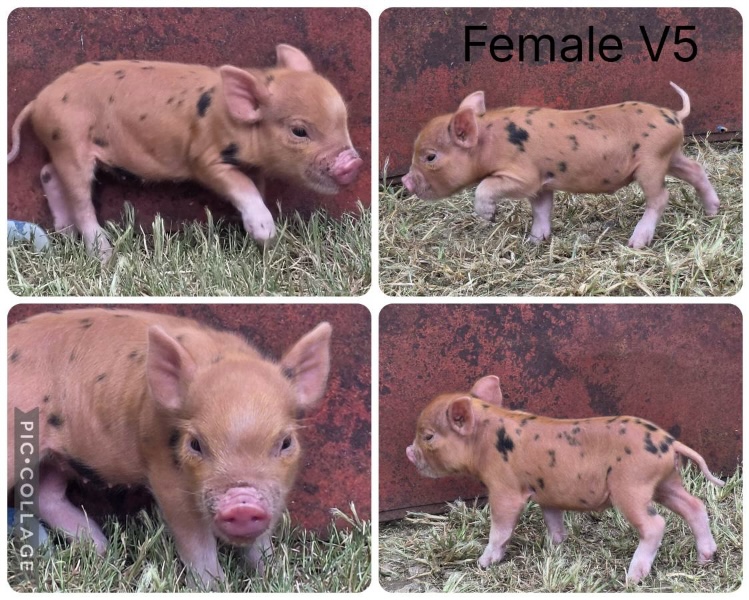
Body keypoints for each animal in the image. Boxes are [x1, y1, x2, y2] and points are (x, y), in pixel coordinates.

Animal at [7, 44, 363, 260]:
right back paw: (105, 255)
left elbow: (256, 188)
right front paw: (266, 231)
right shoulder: (205, 159)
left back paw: (66, 233)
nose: (353, 163)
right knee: (79, 198)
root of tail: (38, 101)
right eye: (299, 131)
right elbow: (241, 186)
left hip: (62, 147)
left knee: (48, 173)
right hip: (70, 142)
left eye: (343, 120)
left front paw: (259, 240)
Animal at [7, 308, 332, 587]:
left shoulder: (278, 489)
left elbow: (261, 541)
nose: (243, 504)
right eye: (196, 444)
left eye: (286, 442)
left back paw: (101, 550)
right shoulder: (164, 473)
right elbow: (195, 541)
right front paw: (213, 586)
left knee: (42, 496)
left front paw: (273, 577)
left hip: (55, 458)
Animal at [402, 83, 719, 248]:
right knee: (695, 169)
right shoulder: (544, 182)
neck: (490, 142)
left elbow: (485, 185)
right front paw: (535, 241)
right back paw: (713, 212)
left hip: (651, 163)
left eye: (430, 157)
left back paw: (636, 243)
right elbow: (542, 209)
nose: (405, 181)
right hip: (670, 156)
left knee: (661, 196)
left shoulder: (524, 175)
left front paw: (489, 216)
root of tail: (675, 115)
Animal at [406, 375, 724, 583]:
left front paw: (483, 563)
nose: (409, 452)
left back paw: (632, 578)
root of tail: (669, 443)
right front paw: (554, 547)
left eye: (429, 436)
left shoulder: (505, 489)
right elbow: (553, 521)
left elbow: (500, 528)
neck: (485, 439)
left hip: (632, 487)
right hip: (666, 483)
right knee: (694, 506)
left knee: (655, 524)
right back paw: (706, 558)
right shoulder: (547, 492)